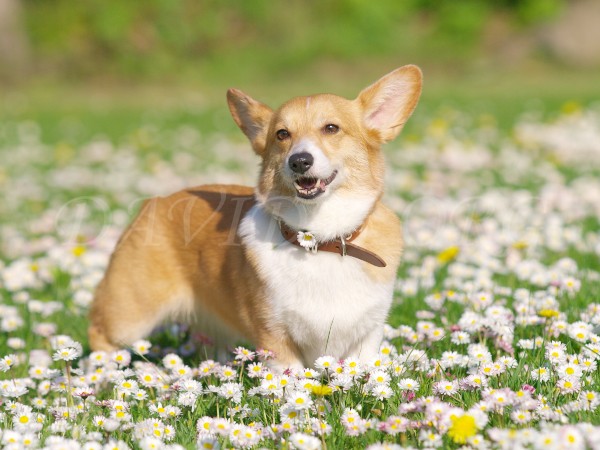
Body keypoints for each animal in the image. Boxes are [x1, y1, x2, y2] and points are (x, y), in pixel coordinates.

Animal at [89, 65, 422, 370]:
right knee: (99, 338)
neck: (318, 238)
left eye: (331, 128)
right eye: (282, 134)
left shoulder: (367, 334)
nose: (299, 161)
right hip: (128, 317)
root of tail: (156, 201)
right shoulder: (274, 335)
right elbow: (292, 381)